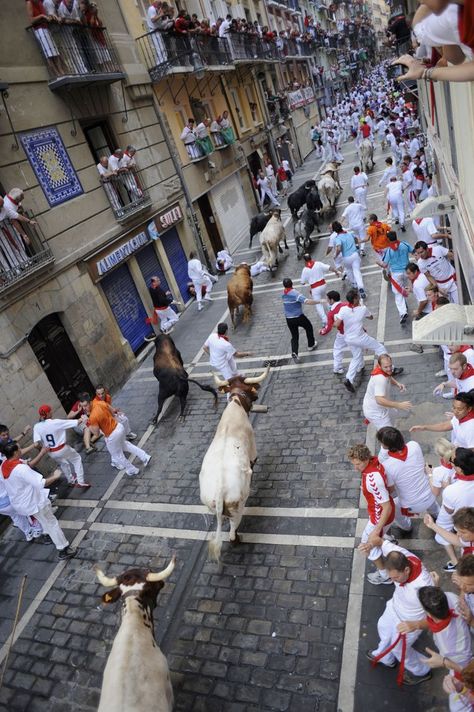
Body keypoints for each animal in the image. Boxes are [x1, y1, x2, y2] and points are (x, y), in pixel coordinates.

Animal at [198, 368, 268, 560]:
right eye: (251, 388)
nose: (257, 395)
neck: (236, 406)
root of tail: (219, 489)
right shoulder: (253, 452)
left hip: (212, 507)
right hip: (238, 507)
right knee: (231, 533)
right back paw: (239, 539)